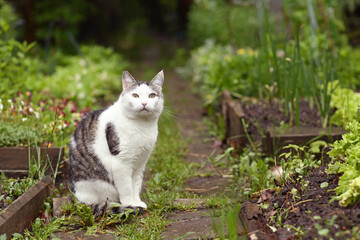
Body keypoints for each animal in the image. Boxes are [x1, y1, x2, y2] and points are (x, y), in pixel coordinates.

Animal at [67, 70, 165, 215]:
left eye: (152, 95)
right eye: (135, 95)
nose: (144, 103)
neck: (142, 126)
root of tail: (77, 199)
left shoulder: (140, 163)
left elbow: (136, 185)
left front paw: (137, 202)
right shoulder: (121, 163)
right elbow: (127, 188)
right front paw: (130, 205)